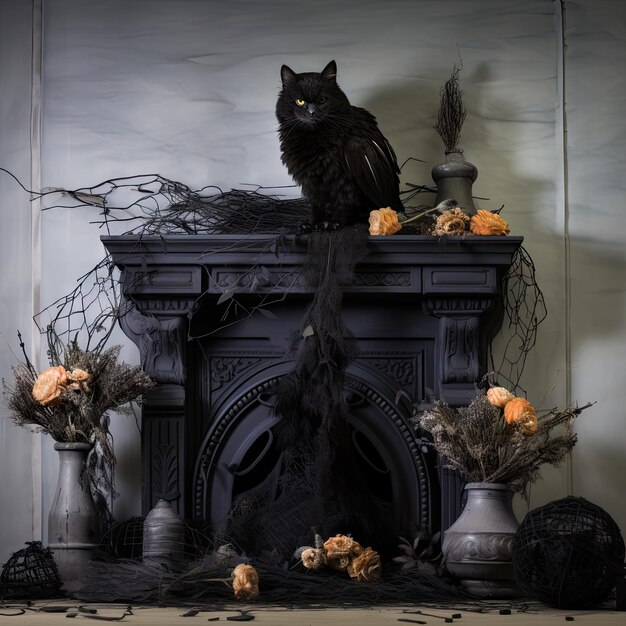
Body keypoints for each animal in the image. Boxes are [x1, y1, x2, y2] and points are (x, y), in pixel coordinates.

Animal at [276, 58, 402, 229]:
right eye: (300, 101)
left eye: (322, 100)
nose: (312, 112)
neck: (313, 136)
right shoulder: (312, 182)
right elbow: (317, 206)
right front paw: (311, 224)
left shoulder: (343, 182)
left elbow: (344, 203)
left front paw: (332, 223)